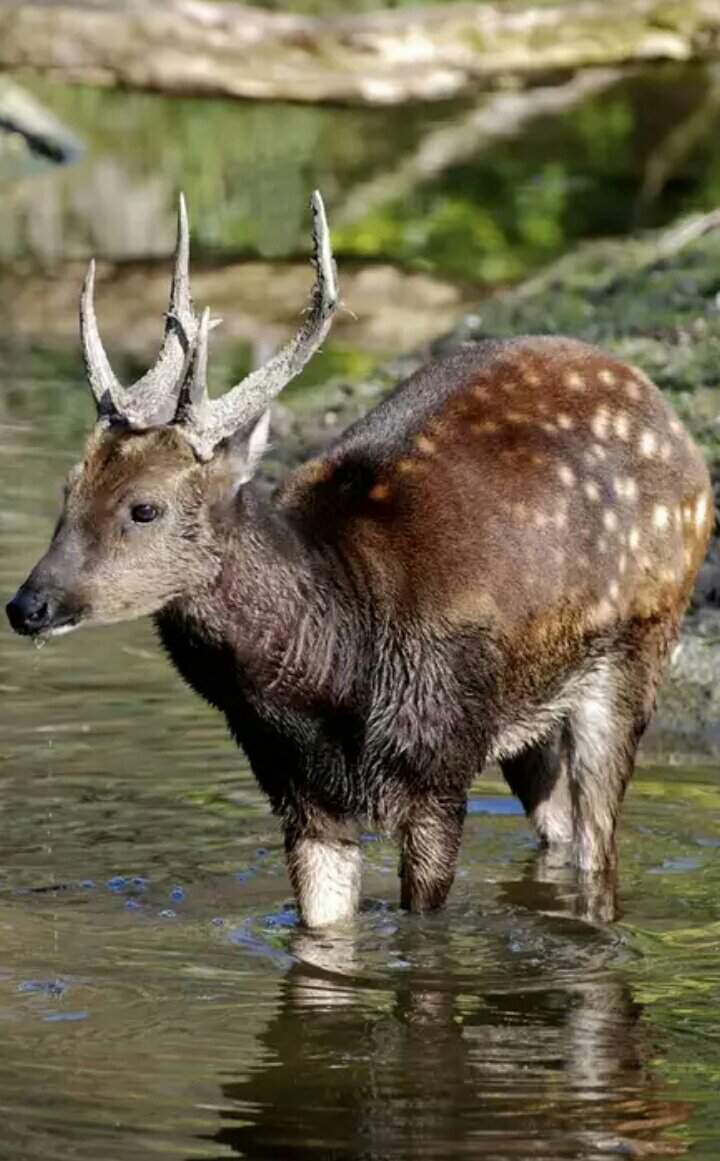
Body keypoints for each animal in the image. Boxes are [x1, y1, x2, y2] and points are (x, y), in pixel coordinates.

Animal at [5, 195, 715, 928]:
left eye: (145, 508)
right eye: (69, 488)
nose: (29, 604)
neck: (336, 673)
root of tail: (673, 422)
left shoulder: (440, 764)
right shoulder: (300, 795)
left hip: (639, 645)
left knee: (599, 845)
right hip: (534, 715)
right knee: (559, 832)